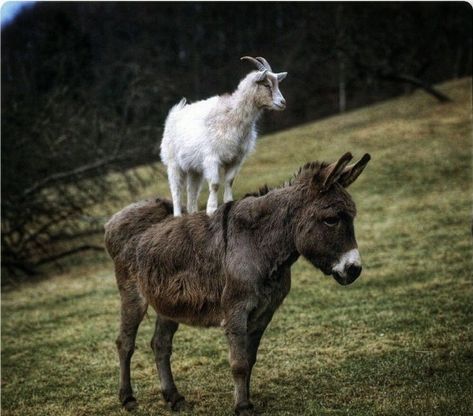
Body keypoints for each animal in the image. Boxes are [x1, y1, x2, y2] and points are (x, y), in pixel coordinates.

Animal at [160, 55, 286, 216]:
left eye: (276, 84)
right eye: (266, 85)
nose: (282, 102)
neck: (231, 116)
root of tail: (175, 113)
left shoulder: (236, 158)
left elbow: (229, 180)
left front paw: (228, 202)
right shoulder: (211, 158)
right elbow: (214, 184)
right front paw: (212, 209)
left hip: (194, 168)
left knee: (192, 191)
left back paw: (193, 212)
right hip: (173, 163)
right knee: (176, 189)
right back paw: (177, 215)